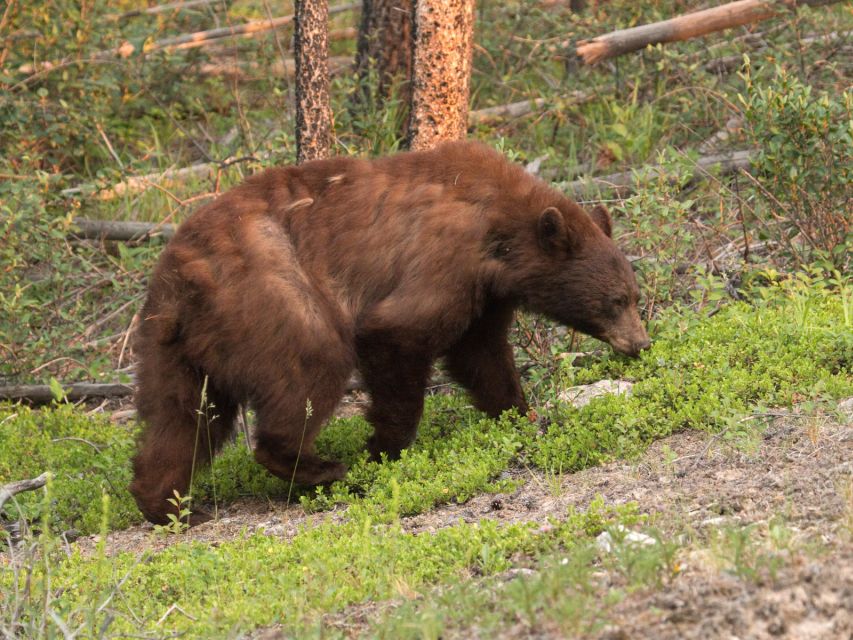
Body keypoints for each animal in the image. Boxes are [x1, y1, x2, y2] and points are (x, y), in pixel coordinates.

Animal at [126, 141, 648, 524]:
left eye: (634, 295)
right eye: (617, 300)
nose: (640, 344)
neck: (501, 229)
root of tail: (183, 281)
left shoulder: (483, 294)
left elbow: (482, 357)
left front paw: (523, 414)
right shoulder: (443, 258)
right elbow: (396, 335)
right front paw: (383, 448)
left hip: (171, 345)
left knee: (181, 418)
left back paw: (168, 506)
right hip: (273, 296)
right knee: (311, 367)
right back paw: (322, 469)